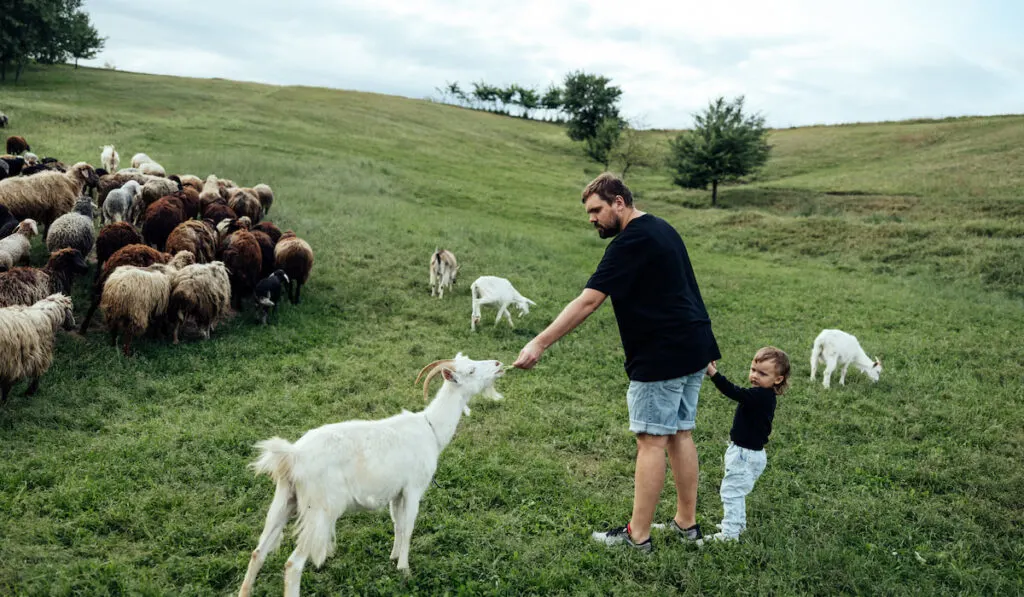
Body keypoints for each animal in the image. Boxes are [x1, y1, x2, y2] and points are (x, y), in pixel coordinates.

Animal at [236, 354, 507, 597]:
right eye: (471, 370)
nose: (498, 364)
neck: (430, 429)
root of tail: (293, 455)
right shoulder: (413, 488)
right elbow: (409, 526)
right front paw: (405, 569)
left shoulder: (396, 492)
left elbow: (398, 524)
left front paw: (394, 557)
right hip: (320, 511)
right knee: (293, 564)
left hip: (284, 500)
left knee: (258, 552)